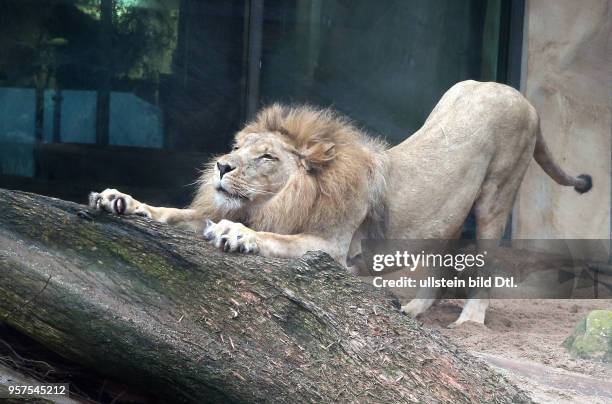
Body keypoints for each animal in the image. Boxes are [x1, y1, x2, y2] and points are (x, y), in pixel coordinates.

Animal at [88, 80, 592, 326]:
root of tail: (518, 95)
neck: (278, 201)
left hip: (497, 193)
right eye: (237, 147)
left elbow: (273, 238)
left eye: (267, 156)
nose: (222, 167)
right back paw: (414, 310)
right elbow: (174, 214)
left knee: (486, 258)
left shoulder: (332, 247)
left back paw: (469, 320)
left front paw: (237, 234)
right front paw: (119, 200)